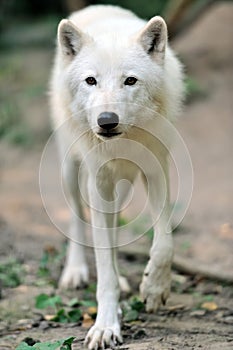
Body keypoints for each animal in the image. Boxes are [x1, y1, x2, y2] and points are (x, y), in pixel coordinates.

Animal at [49, 4, 184, 348]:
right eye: (91, 80)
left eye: (130, 81)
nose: (106, 121)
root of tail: (98, 7)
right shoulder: (97, 182)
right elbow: (103, 266)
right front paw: (105, 326)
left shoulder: (157, 170)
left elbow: (164, 243)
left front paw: (154, 289)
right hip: (72, 172)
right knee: (77, 219)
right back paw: (75, 271)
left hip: (121, 188)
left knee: (112, 234)